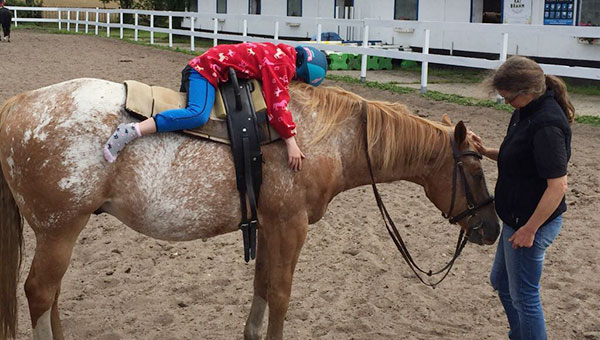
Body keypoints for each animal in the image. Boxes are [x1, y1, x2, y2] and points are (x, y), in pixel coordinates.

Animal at [0, 78, 500, 338]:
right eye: (476, 171)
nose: (492, 229)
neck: (317, 135)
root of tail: (17, 104)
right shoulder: (291, 226)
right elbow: (280, 294)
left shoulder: (269, 225)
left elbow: (262, 285)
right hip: (59, 229)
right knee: (40, 293)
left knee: (52, 295)